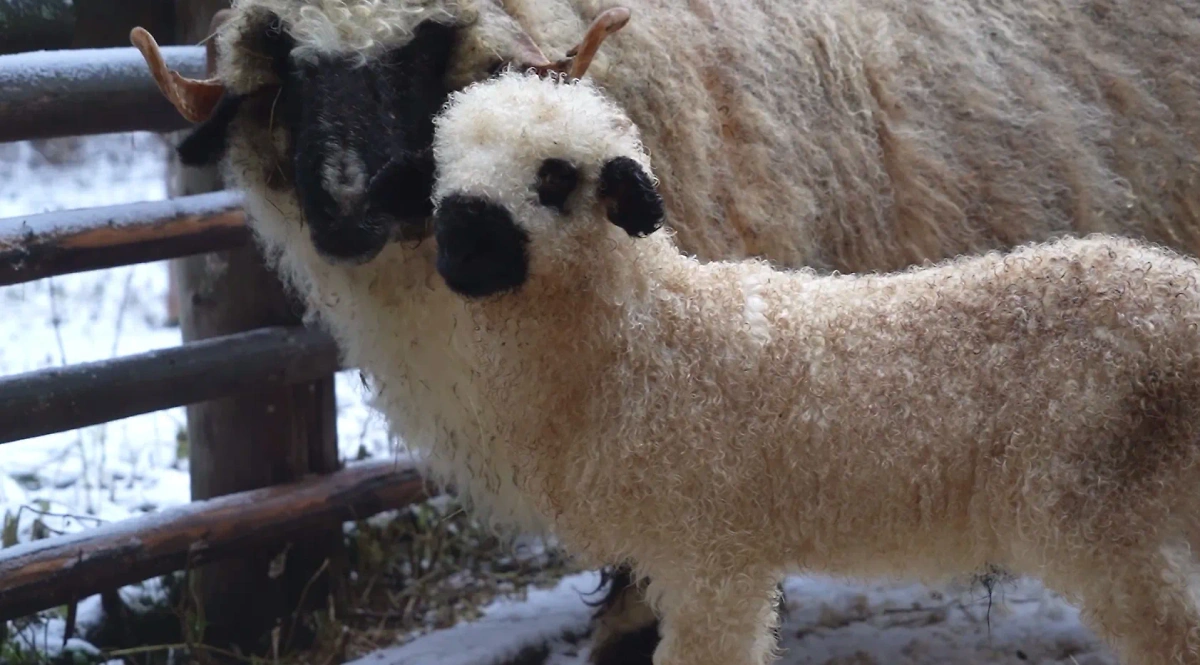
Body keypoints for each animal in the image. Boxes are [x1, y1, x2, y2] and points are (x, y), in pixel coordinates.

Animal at [422, 71, 1200, 662]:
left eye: (555, 175)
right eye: (446, 161)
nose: (458, 245)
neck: (647, 337)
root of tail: (1177, 296)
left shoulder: (712, 554)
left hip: (1089, 508)